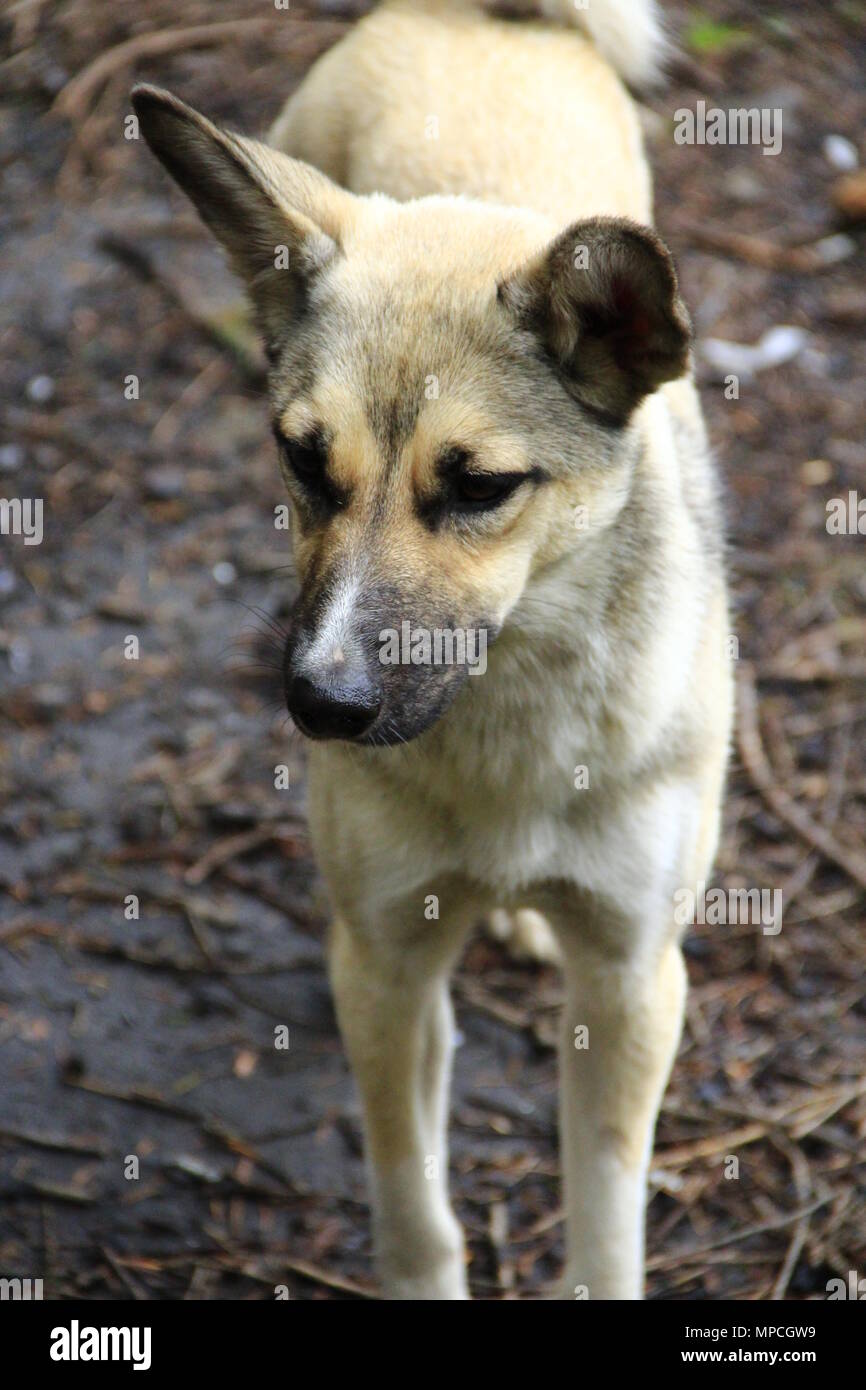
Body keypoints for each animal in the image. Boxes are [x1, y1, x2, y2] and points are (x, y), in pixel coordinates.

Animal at [134, 2, 733, 1301]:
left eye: (479, 487)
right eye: (304, 461)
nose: (319, 703)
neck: (502, 716)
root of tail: (470, 20)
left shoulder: (633, 982)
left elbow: (603, 1218)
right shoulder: (386, 967)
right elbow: (412, 1200)